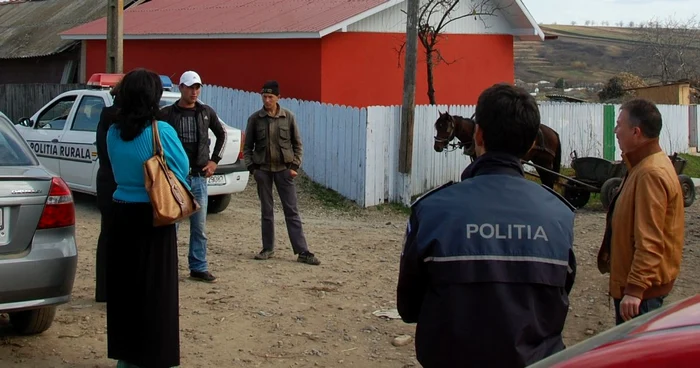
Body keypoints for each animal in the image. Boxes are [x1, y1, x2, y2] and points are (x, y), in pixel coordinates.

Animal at [432, 110, 564, 190]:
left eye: (446, 128)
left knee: (548, 181)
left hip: (544, 162)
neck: (474, 133)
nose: (437, 147)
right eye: (437, 127)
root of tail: (553, 132)